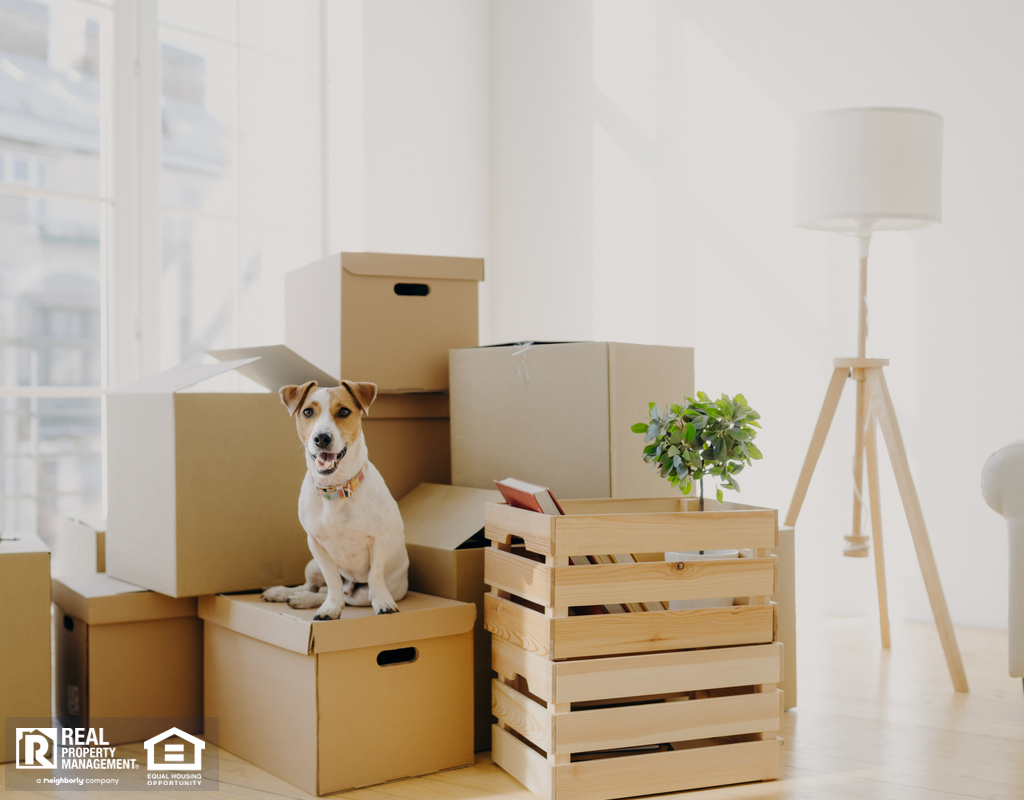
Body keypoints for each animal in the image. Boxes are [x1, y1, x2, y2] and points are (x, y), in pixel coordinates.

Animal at [260, 379, 407, 618]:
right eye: (308, 412)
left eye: (344, 411)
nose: (322, 438)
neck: (336, 489)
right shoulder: (316, 545)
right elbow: (332, 581)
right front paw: (330, 607)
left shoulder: (379, 539)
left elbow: (375, 575)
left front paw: (383, 602)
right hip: (312, 565)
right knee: (314, 587)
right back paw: (288, 594)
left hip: (360, 595)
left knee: (347, 596)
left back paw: (302, 599)